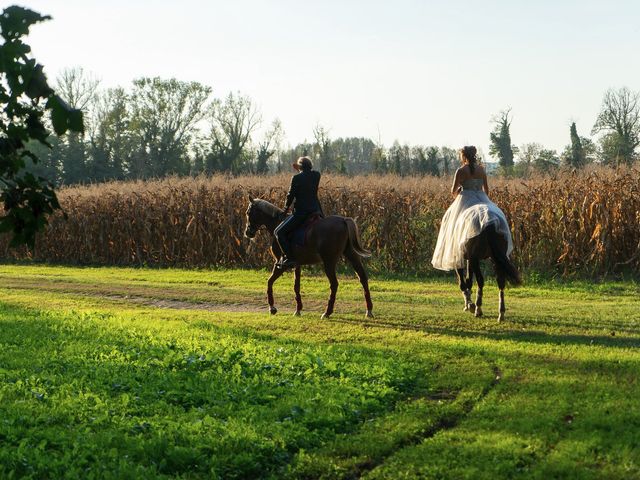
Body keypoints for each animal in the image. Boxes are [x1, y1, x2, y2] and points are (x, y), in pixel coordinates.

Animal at [245, 195, 376, 318]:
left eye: (248, 212)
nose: (248, 232)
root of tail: (343, 220)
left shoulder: (280, 264)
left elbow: (269, 282)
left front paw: (272, 308)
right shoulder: (296, 264)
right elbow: (296, 286)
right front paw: (298, 309)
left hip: (329, 261)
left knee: (334, 284)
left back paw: (327, 312)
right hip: (352, 256)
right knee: (363, 278)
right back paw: (369, 310)